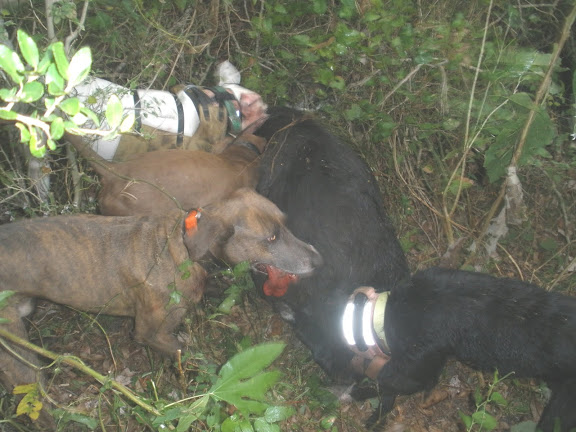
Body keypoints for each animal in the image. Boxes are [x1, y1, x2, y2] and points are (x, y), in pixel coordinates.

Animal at [0, 187, 322, 424]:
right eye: (271, 237)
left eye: (286, 224)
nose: (319, 260)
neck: (185, 247)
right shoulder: (151, 334)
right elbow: (189, 358)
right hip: (21, 364)